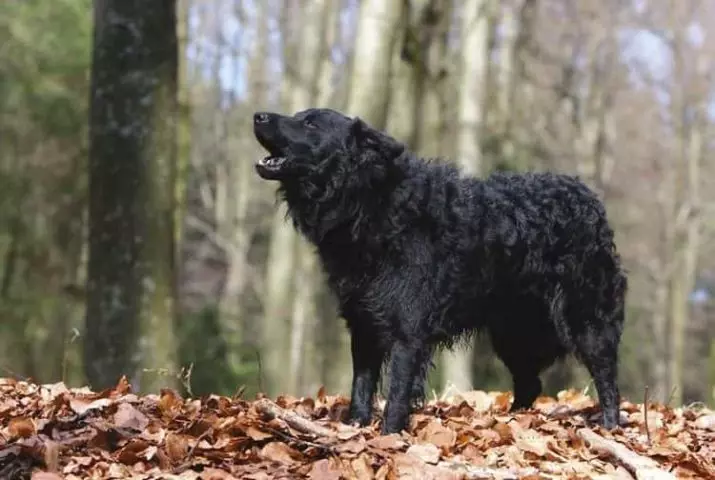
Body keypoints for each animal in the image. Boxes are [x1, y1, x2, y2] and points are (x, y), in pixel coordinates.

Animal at [252, 109, 628, 436]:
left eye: (311, 124)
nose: (258, 115)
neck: (373, 203)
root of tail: (589, 199)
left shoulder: (407, 331)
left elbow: (397, 393)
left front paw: (389, 437)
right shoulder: (363, 324)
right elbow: (361, 385)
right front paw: (355, 429)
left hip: (586, 319)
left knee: (607, 378)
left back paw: (609, 427)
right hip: (512, 332)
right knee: (529, 384)